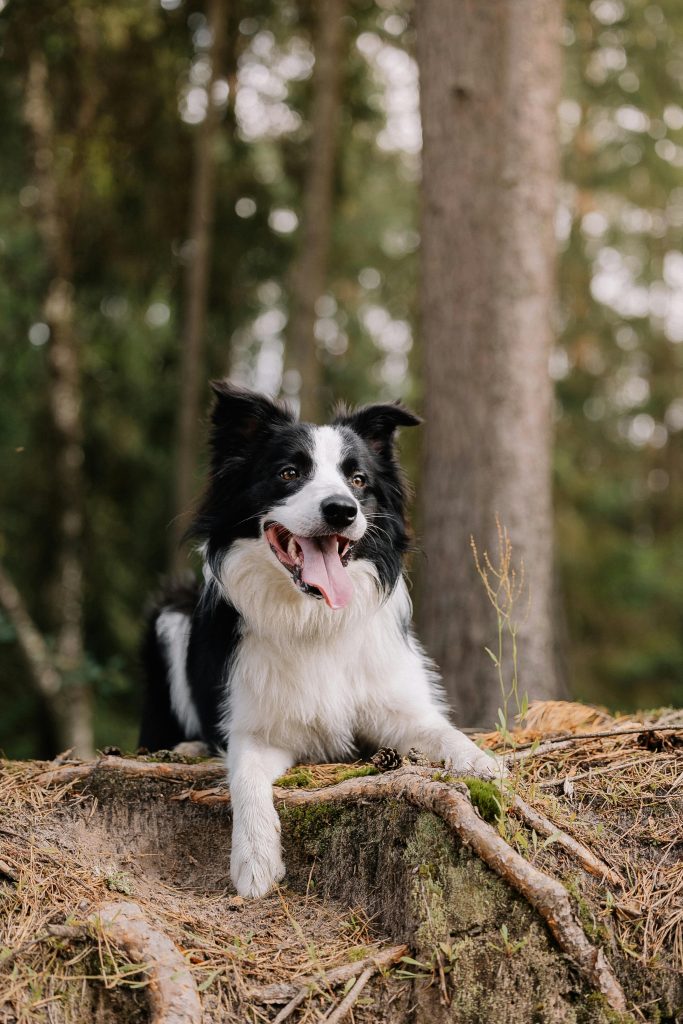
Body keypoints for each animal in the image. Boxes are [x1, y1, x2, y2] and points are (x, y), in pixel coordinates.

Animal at [140, 382, 501, 897]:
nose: (341, 510)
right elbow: (245, 778)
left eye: (358, 480)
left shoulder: (397, 708)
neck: (314, 619)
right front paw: (254, 858)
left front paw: (479, 761)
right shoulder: (258, 731)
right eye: (289, 473)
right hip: (169, 614)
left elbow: (442, 731)